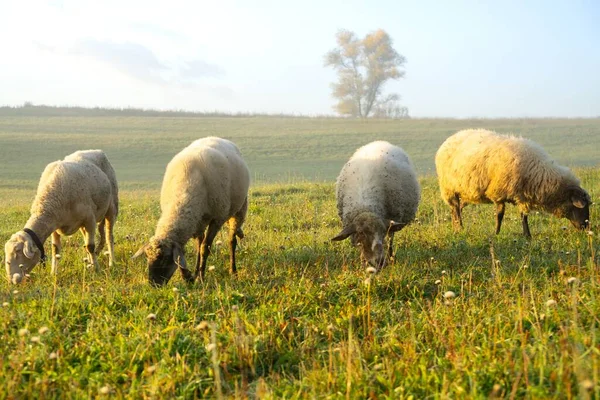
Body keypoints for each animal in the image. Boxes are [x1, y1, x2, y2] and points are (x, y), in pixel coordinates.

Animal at [4, 148, 119, 282]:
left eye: (17, 252)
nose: (11, 280)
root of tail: (96, 150)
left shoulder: (89, 219)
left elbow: (90, 246)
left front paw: (96, 270)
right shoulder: (54, 226)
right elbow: (55, 250)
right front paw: (54, 273)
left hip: (112, 208)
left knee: (109, 237)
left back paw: (111, 262)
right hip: (83, 225)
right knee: (87, 241)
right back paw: (90, 262)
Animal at [134, 136, 251, 286]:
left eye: (165, 259)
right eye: (147, 257)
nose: (154, 284)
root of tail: (216, 137)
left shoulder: (217, 219)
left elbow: (205, 248)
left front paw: (200, 277)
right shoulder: (196, 220)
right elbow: (191, 251)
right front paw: (189, 276)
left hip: (239, 209)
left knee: (231, 240)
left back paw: (233, 271)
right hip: (200, 221)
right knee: (200, 242)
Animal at [436, 129, 592, 238]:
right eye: (580, 207)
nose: (586, 228)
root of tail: (449, 139)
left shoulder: (521, 196)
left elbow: (524, 216)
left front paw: (527, 235)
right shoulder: (498, 193)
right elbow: (500, 215)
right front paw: (497, 233)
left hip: (466, 193)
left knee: (456, 209)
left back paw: (455, 227)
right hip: (449, 189)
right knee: (456, 209)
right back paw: (460, 228)